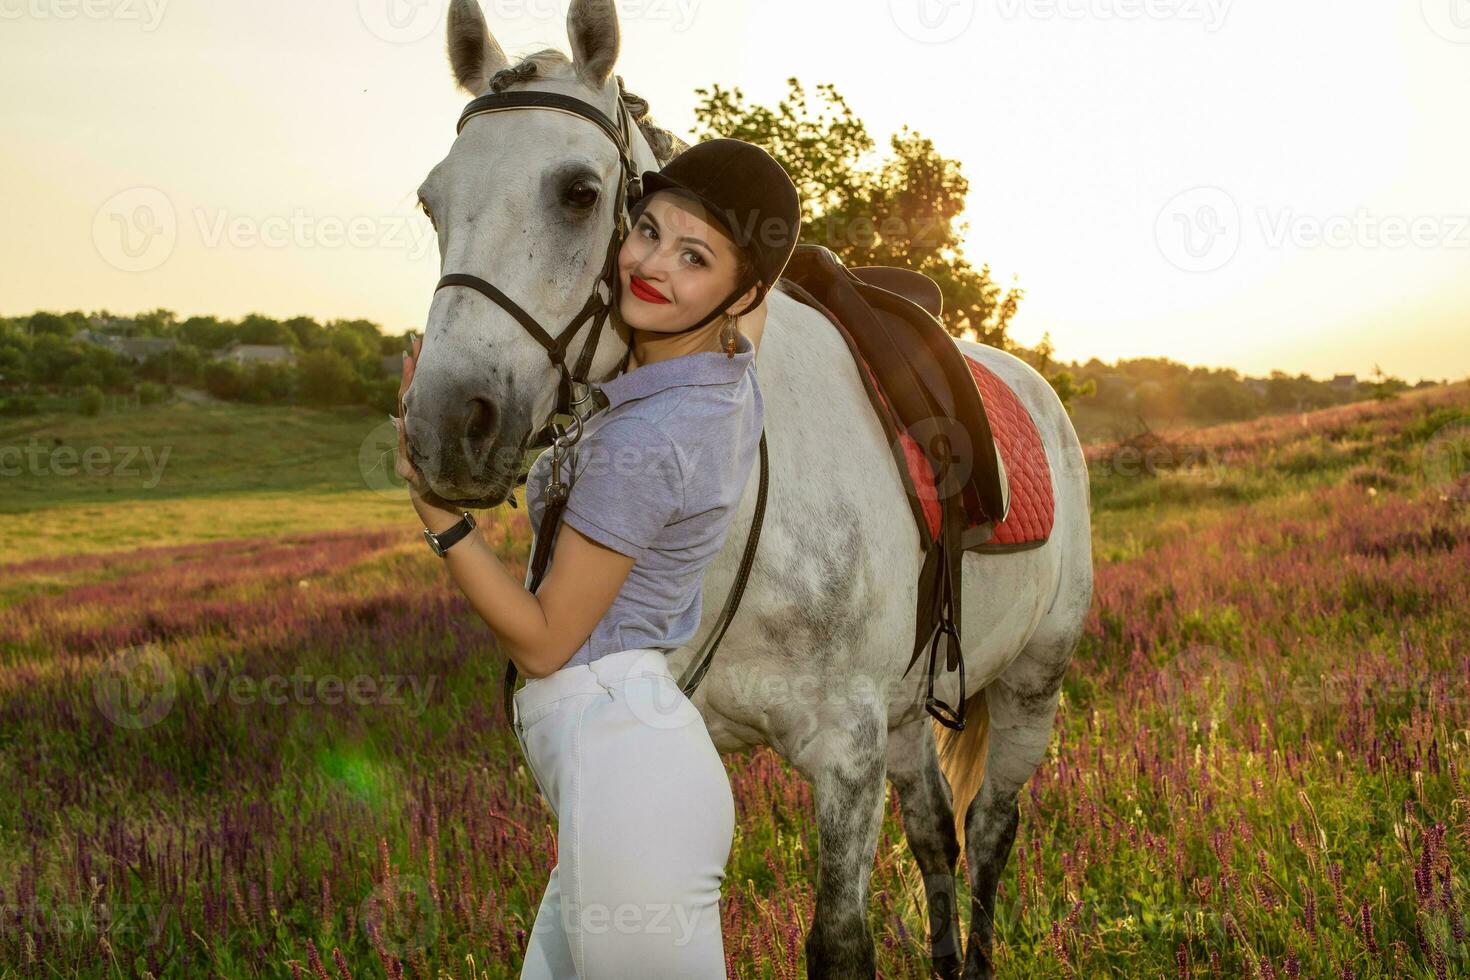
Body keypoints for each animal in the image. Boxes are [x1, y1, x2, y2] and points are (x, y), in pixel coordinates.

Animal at [405, 3, 1093, 975]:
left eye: (578, 191)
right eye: (432, 201)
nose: (444, 429)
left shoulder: (845, 757)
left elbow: (840, 941)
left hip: (1035, 681)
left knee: (994, 827)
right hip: (909, 717)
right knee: (937, 837)